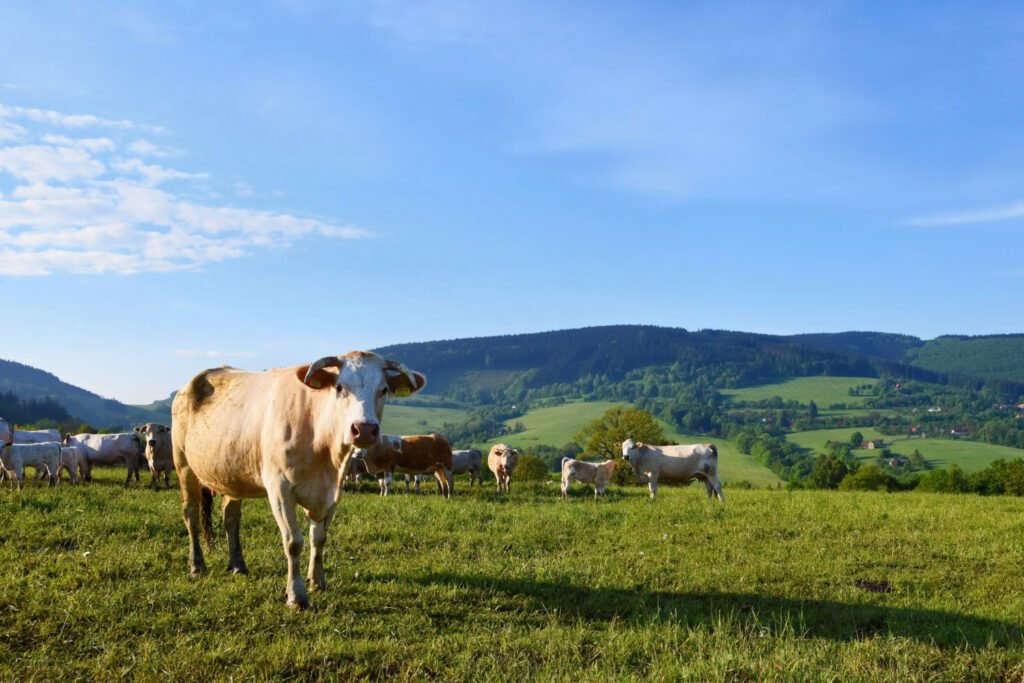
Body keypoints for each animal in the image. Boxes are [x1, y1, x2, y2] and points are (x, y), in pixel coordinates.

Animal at [171, 352, 423, 610]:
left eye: (383, 389)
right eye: (340, 387)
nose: (363, 429)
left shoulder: (332, 493)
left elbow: (319, 538)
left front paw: (317, 581)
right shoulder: (280, 490)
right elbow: (294, 542)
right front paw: (297, 595)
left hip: (232, 474)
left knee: (230, 517)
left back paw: (238, 564)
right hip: (184, 465)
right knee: (191, 514)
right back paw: (196, 565)